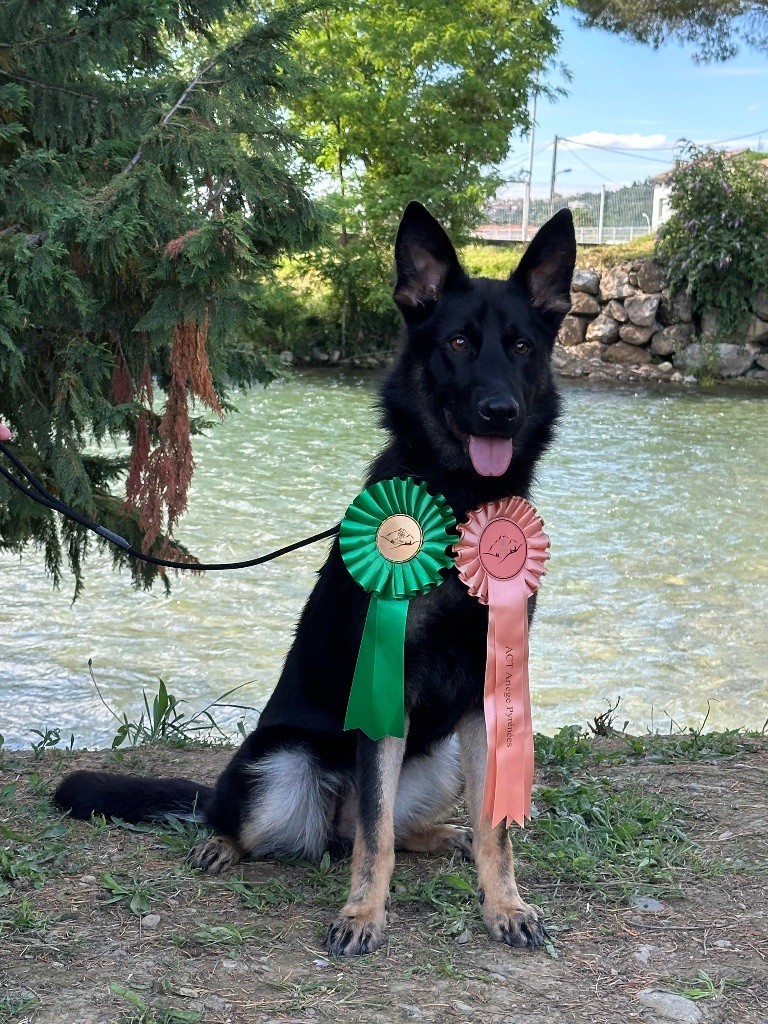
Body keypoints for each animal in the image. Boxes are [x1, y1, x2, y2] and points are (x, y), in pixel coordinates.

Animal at [55, 201, 577, 958]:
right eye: (456, 343)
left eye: (521, 348)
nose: (500, 412)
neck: (456, 504)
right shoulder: (385, 695)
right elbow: (375, 838)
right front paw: (364, 914)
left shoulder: (487, 699)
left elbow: (492, 830)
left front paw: (504, 904)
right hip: (278, 765)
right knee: (289, 822)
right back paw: (221, 843)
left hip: (443, 754)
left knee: (380, 827)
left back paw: (439, 834)